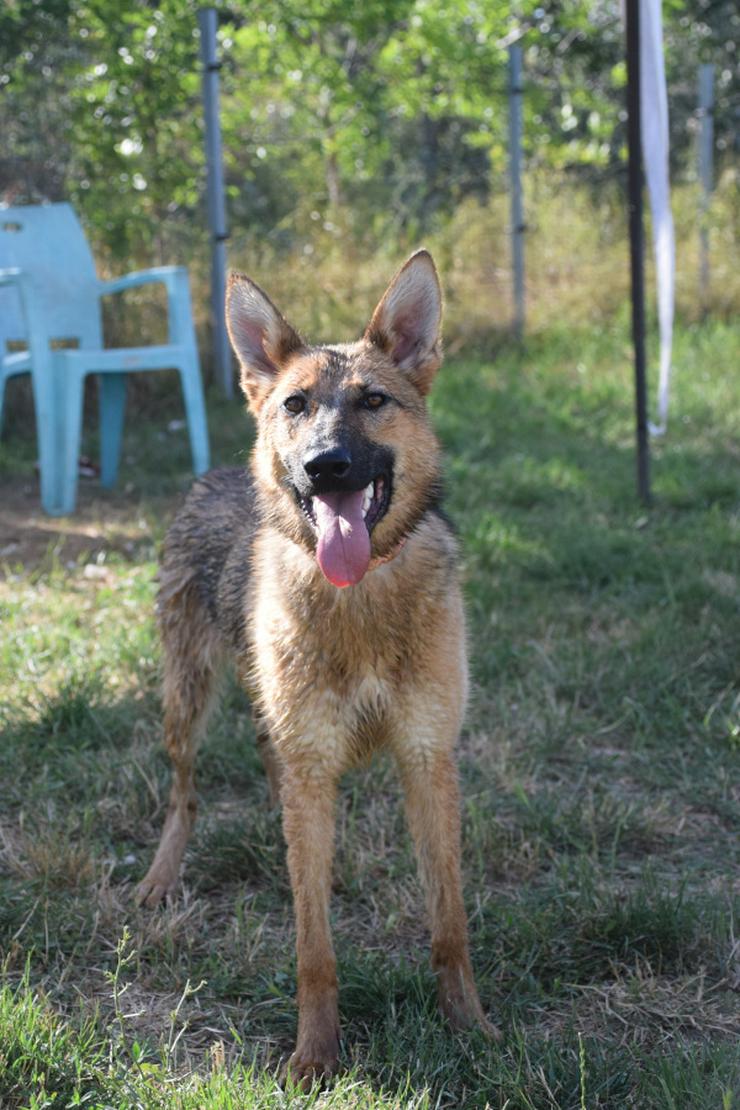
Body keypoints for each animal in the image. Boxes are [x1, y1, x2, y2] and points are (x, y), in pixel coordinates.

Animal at [138, 251, 497, 1083]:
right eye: (297, 405)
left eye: (372, 400)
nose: (324, 466)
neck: (358, 599)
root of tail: (217, 473)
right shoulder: (311, 766)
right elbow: (314, 949)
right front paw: (316, 1054)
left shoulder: (427, 761)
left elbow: (450, 922)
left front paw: (469, 1025)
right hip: (185, 702)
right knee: (185, 794)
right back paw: (163, 877)